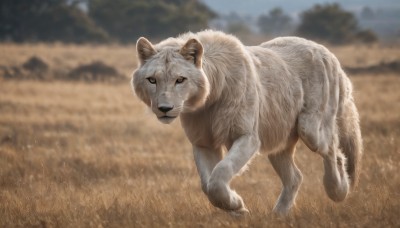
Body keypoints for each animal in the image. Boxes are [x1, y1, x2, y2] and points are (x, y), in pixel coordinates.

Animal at [130, 30, 362, 216]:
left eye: (180, 80)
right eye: (152, 80)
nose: (164, 108)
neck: (209, 101)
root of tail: (326, 51)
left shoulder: (247, 137)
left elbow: (220, 174)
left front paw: (236, 205)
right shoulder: (203, 142)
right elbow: (208, 184)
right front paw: (237, 208)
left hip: (310, 128)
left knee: (334, 150)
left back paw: (339, 190)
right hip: (279, 142)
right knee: (295, 176)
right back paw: (278, 215)